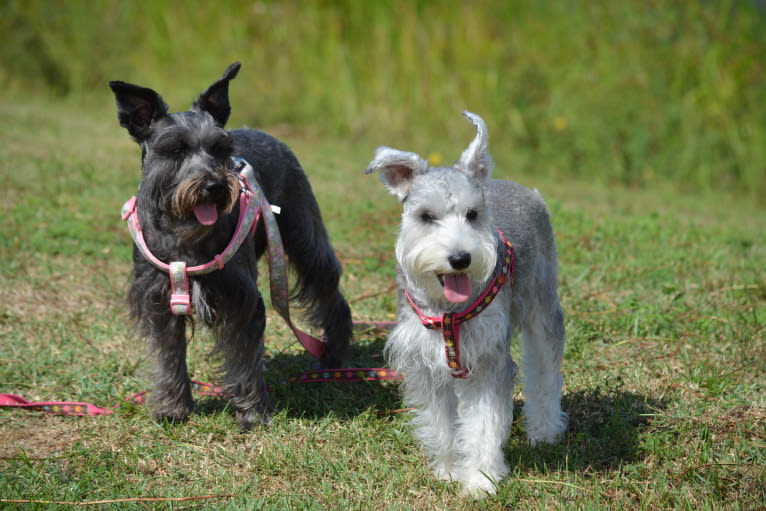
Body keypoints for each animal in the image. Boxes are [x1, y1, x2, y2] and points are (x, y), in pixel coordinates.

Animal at [109, 62, 352, 430]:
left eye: (219, 148)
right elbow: (169, 357)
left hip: (305, 238)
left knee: (329, 291)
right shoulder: (158, 299)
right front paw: (173, 408)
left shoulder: (242, 299)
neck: (186, 234)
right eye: (176, 150)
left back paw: (334, 355)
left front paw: (253, 412)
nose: (214, 185)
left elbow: (246, 358)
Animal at [366, 111, 568, 496]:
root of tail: (526, 190)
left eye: (473, 214)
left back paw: (545, 429)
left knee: (545, 372)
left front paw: (480, 480)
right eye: (426, 216)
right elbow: (441, 423)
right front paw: (448, 469)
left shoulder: (489, 360)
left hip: (543, 308)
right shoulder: (426, 364)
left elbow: (483, 424)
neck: (448, 311)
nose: (460, 258)